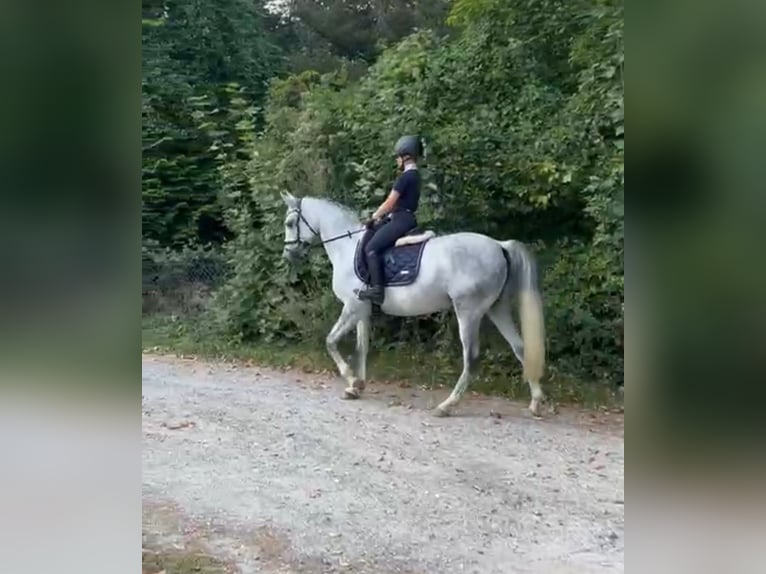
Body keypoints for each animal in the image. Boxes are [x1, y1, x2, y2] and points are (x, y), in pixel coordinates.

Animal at [280, 194, 548, 418]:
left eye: (291, 223)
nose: (288, 255)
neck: (347, 248)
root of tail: (499, 245)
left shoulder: (352, 307)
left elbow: (330, 341)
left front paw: (351, 380)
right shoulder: (363, 311)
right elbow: (361, 347)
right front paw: (357, 387)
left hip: (468, 312)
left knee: (471, 358)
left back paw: (446, 406)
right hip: (497, 309)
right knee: (520, 348)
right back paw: (535, 403)